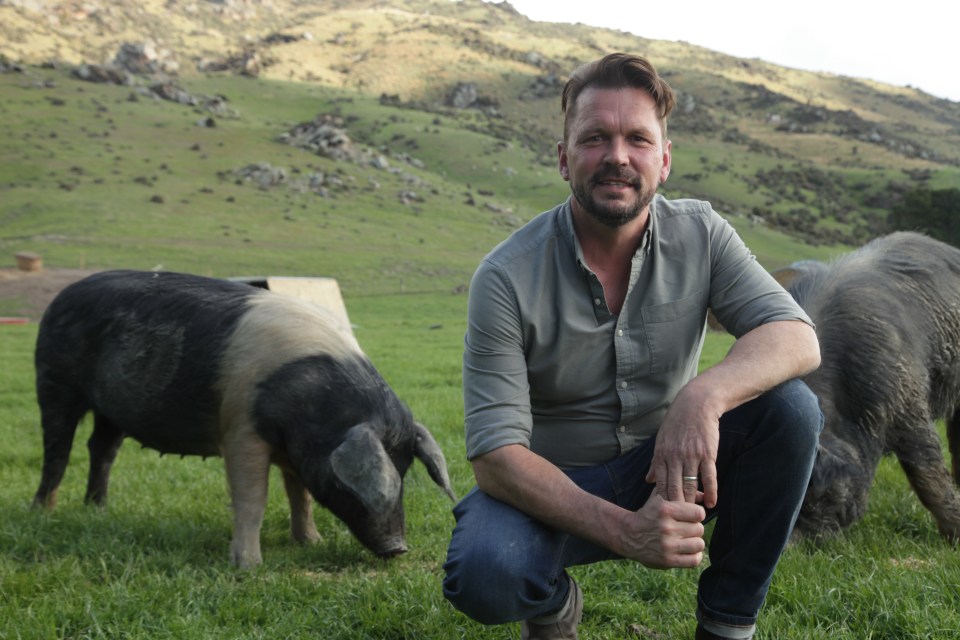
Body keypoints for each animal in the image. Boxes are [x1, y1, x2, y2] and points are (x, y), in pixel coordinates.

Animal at [31, 268, 460, 568]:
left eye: (405, 470)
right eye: (386, 478)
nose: (398, 547)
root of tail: (60, 297)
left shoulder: (296, 449)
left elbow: (300, 495)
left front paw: (311, 542)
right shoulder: (241, 430)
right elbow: (253, 497)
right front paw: (249, 567)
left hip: (110, 409)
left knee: (101, 448)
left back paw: (98, 510)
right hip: (54, 378)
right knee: (58, 449)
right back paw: (44, 514)